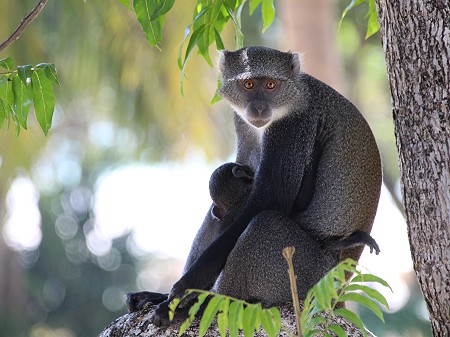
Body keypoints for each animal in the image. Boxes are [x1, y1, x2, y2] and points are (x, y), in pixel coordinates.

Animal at [125, 46, 380, 324]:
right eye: (248, 84)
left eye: (270, 85)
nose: (258, 108)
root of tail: (339, 290)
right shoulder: (243, 124)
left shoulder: (294, 126)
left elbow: (268, 203)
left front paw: (185, 288)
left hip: (311, 277)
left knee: (264, 223)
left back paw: (213, 304)